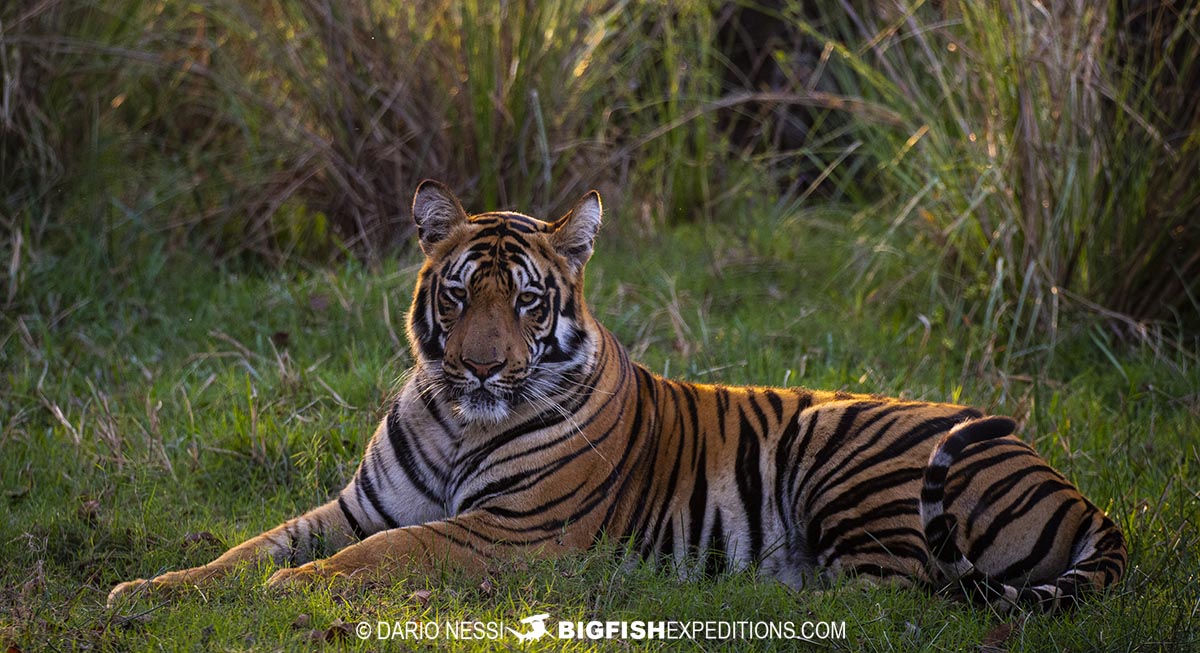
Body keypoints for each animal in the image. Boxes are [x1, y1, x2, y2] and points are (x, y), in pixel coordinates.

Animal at [108, 180, 1126, 613]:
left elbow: (393, 551)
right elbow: (250, 545)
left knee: (889, 599)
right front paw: (145, 590)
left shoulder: (510, 528)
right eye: (458, 293)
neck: (455, 419)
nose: (482, 368)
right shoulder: (360, 504)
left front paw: (298, 589)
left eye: (526, 300)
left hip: (845, 449)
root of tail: (1076, 488)